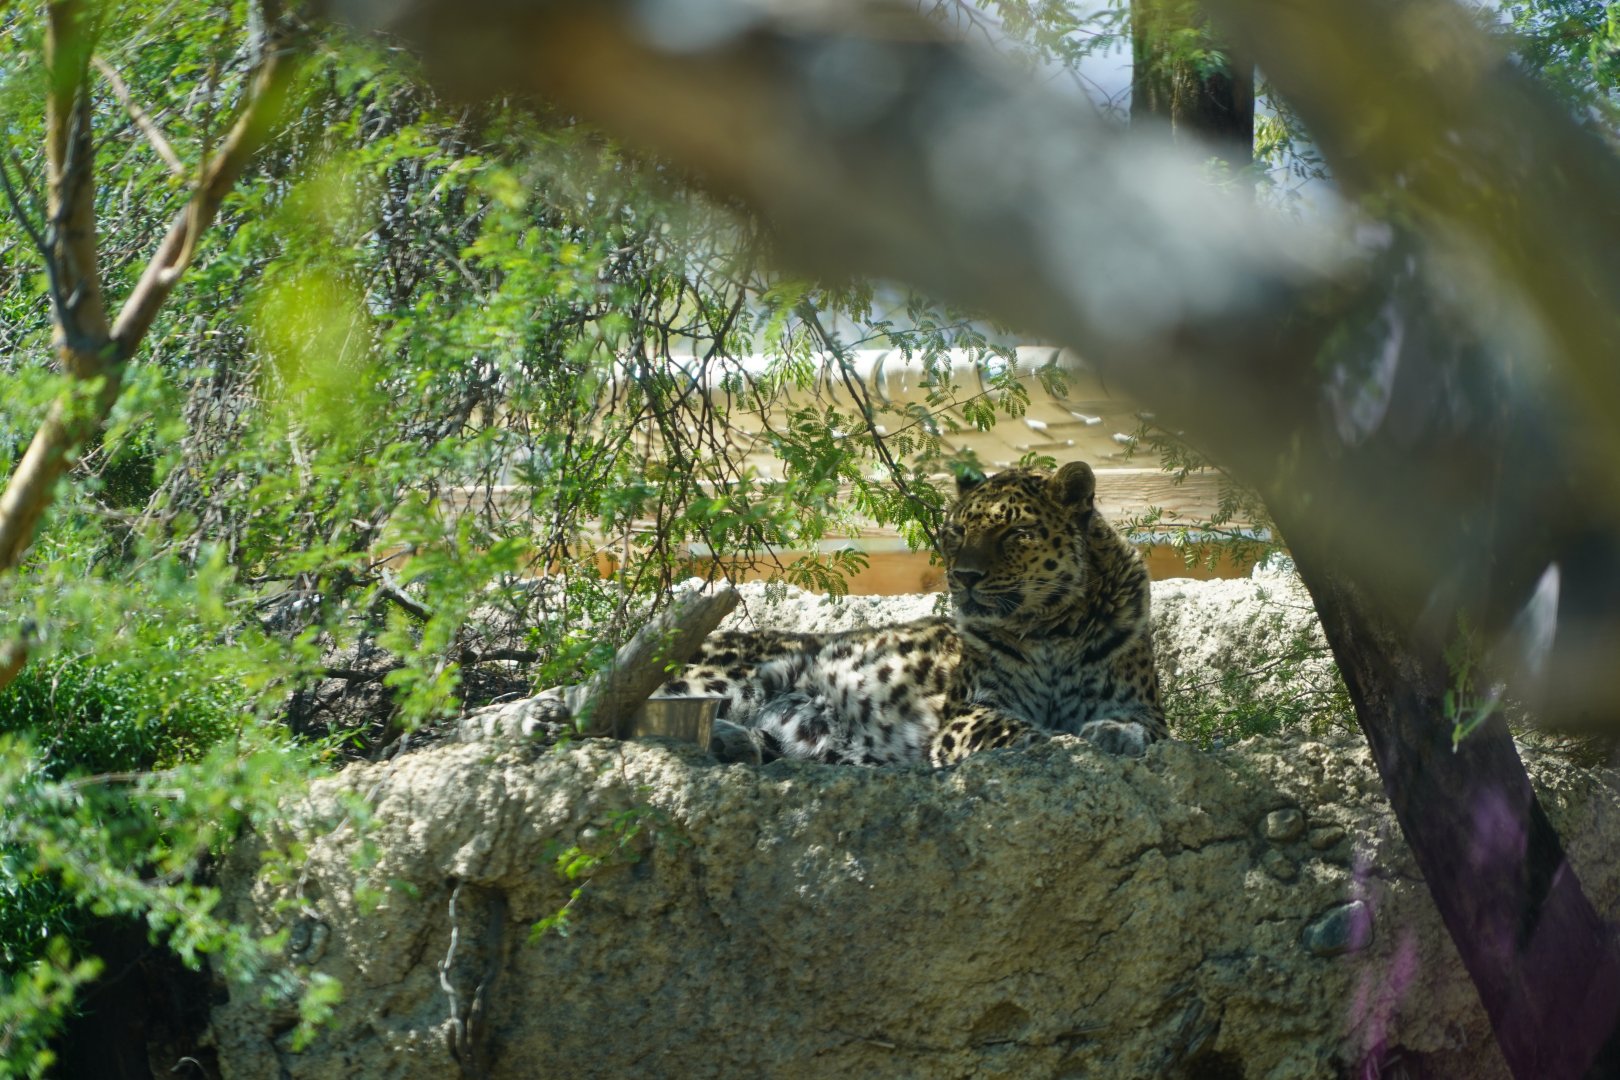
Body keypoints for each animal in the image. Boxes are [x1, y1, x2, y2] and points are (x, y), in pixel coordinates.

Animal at [659, 460, 1166, 766]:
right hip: (730, 678)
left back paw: (739, 743)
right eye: (956, 531)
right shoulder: (972, 710)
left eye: (1015, 533)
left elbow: (1145, 729)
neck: (1053, 628)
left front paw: (1113, 734)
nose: (964, 576)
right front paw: (1063, 741)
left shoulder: (1145, 708)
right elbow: (1018, 729)